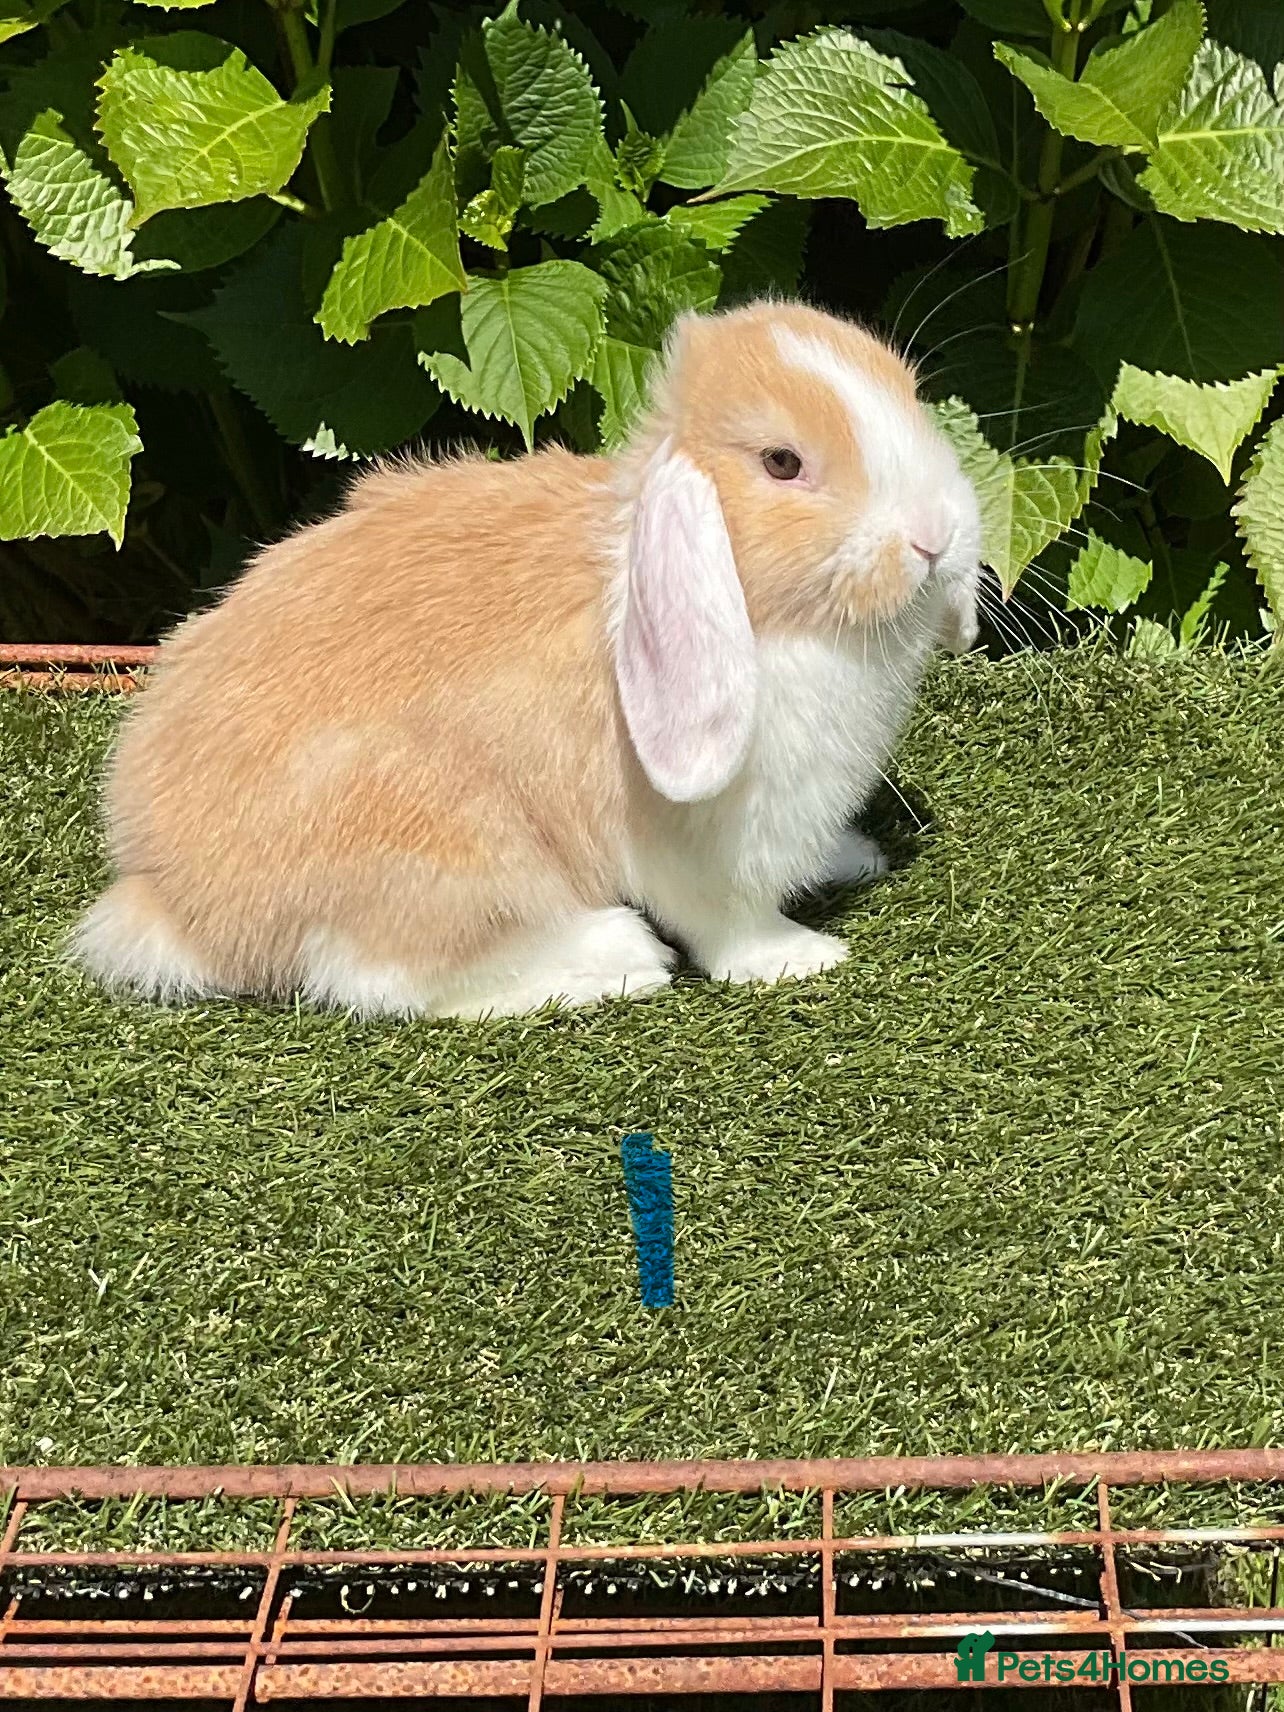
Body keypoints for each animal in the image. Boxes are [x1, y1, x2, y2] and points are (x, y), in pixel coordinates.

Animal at [72, 300, 982, 1019]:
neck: (775, 620)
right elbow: (728, 926)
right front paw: (800, 957)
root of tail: (174, 903)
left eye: (911, 397)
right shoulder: (705, 848)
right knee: (381, 979)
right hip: (448, 851)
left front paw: (854, 856)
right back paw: (613, 957)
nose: (935, 534)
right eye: (782, 463)